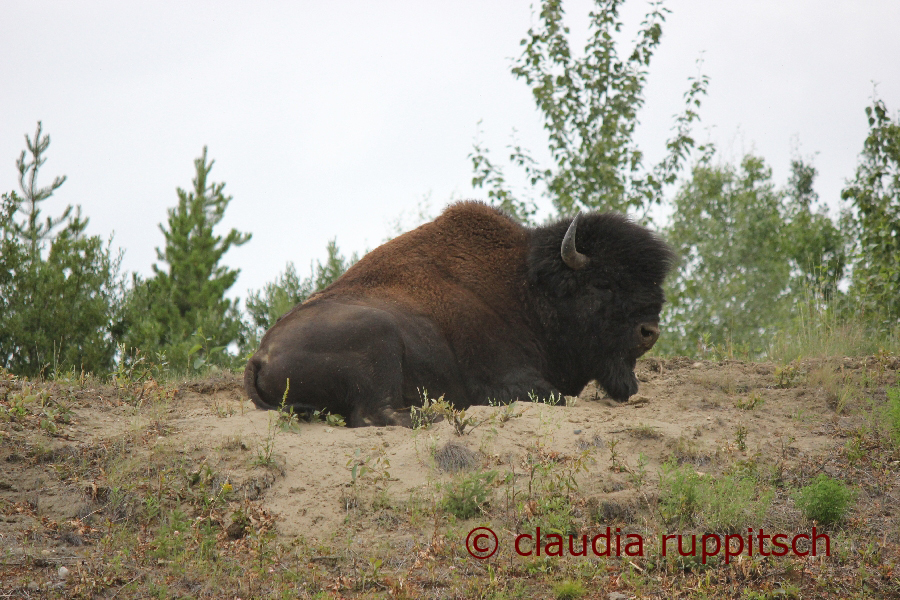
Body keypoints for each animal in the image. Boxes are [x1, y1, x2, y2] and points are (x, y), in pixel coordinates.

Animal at [243, 202, 672, 426]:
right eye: (603, 284)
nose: (649, 331)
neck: (528, 290)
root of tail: (259, 356)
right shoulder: (507, 381)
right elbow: (554, 397)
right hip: (379, 335)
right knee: (375, 414)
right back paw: (437, 414)